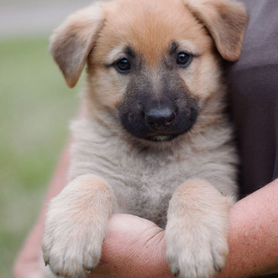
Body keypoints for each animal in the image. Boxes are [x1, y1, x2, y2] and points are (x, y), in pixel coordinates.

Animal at [43, 0, 248, 276]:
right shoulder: (100, 176)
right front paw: (70, 237)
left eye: (182, 57)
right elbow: (90, 181)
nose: (160, 117)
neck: (153, 158)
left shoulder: (217, 179)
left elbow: (194, 185)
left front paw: (194, 244)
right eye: (123, 63)